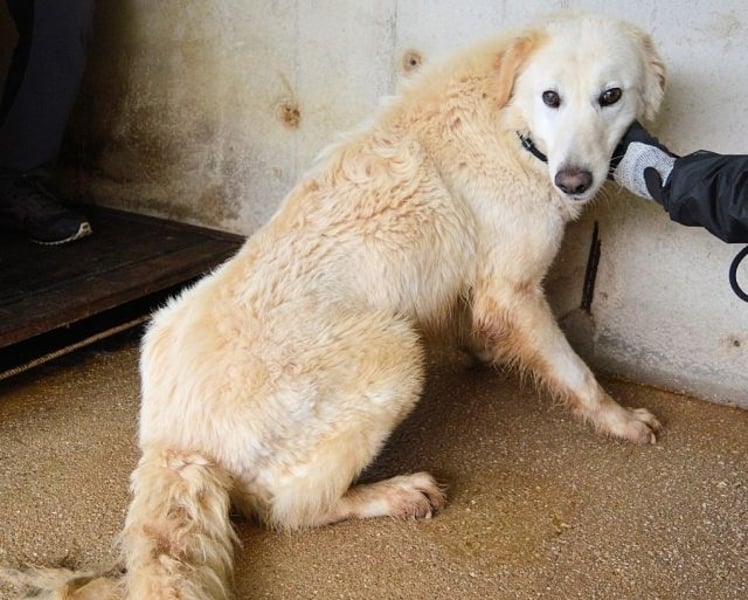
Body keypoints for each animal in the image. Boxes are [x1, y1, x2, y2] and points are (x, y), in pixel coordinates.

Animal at [8, 12, 665, 600]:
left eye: (610, 97)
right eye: (551, 97)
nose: (575, 181)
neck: (510, 119)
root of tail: (173, 442)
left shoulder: (477, 287)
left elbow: (481, 327)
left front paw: (489, 354)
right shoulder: (515, 290)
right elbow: (576, 373)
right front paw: (620, 419)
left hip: (171, 322)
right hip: (394, 350)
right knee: (288, 509)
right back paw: (394, 493)